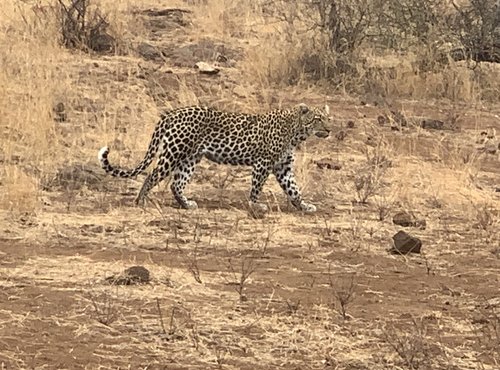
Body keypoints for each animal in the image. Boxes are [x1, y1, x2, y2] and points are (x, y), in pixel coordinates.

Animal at [98, 103, 332, 214]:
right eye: (317, 119)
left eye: (328, 118)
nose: (330, 129)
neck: (295, 132)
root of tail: (171, 114)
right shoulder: (263, 163)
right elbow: (256, 188)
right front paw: (255, 206)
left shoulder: (283, 167)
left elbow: (294, 189)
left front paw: (304, 206)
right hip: (174, 152)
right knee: (152, 175)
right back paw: (141, 202)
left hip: (191, 157)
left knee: (176, 184)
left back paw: (186, 204)